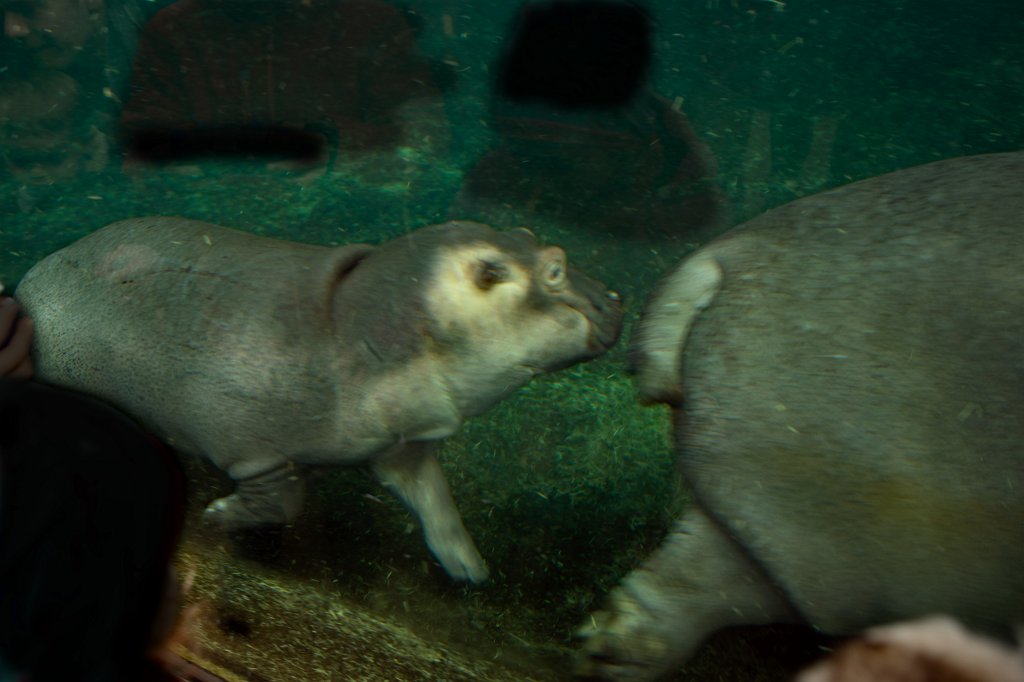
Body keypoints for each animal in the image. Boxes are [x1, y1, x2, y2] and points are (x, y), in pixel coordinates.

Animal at [16, 218, 622, 584]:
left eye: (532, 234)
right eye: (555, 267)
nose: (617, 298)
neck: (368, 322)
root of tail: (30, 277)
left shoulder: (401, 448)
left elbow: (438, 503)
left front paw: (471, 569)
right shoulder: (257, 452)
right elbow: (283, 505)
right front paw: (216, 516)